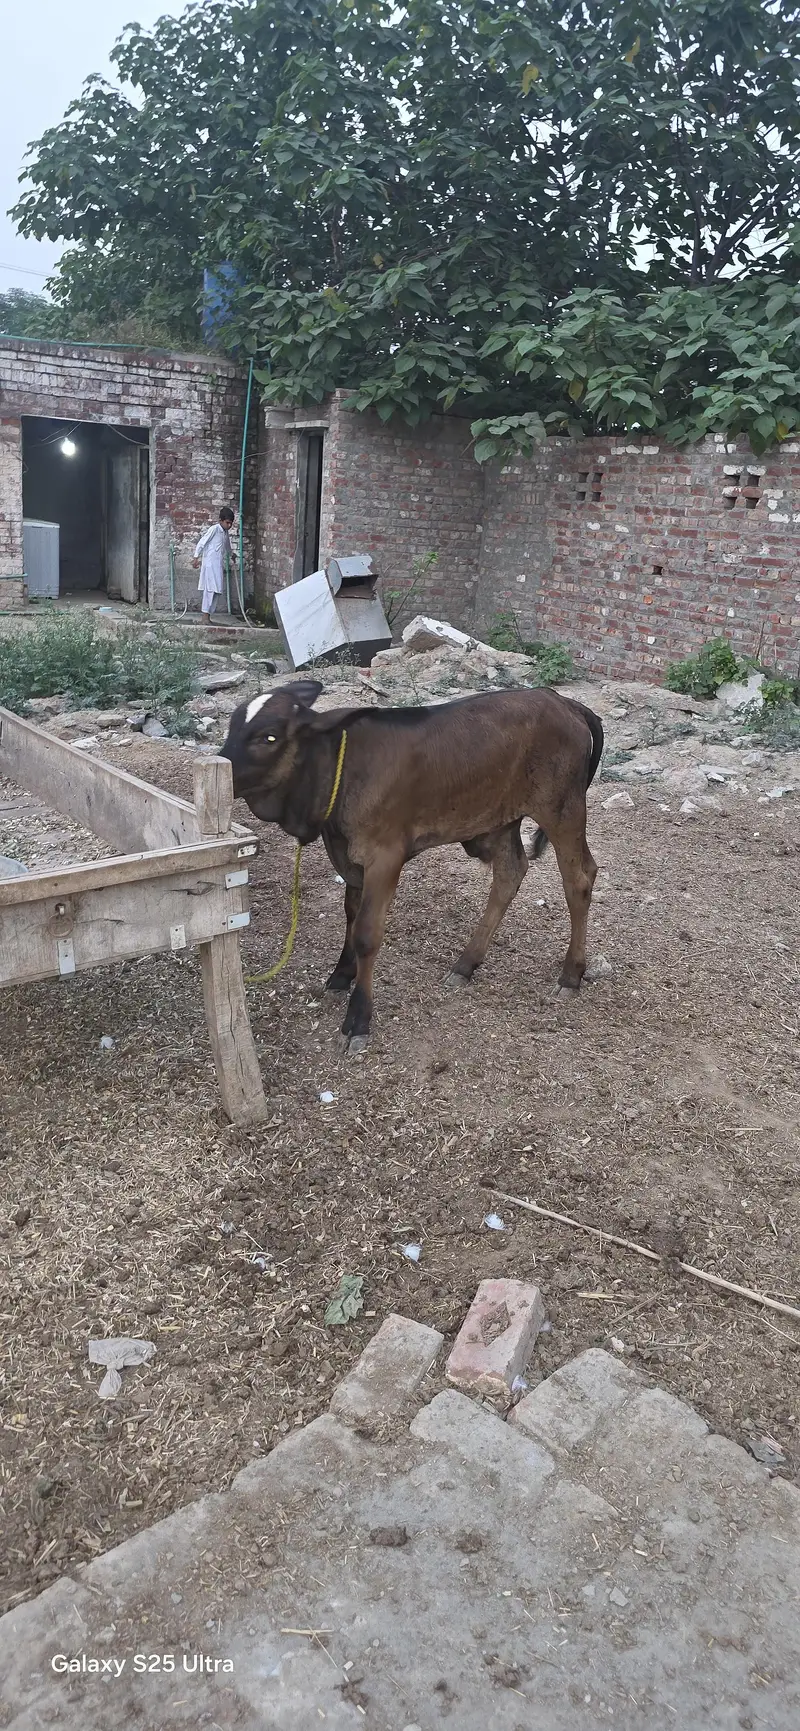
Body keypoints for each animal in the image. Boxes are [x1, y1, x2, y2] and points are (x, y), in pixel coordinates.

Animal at [221, 680, 603, 1053]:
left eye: (269, 736)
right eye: (233, 724)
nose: (221, 766)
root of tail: (566, 703)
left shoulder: (385, 856)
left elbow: (366, 934)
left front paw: (358, 1019)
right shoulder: (348, 855)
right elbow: (350, 915)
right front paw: (341, 975)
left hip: (562, 809)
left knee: (579, 879)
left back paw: (571, 974)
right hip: (502, 818)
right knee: (510, 873)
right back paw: (465, 964)